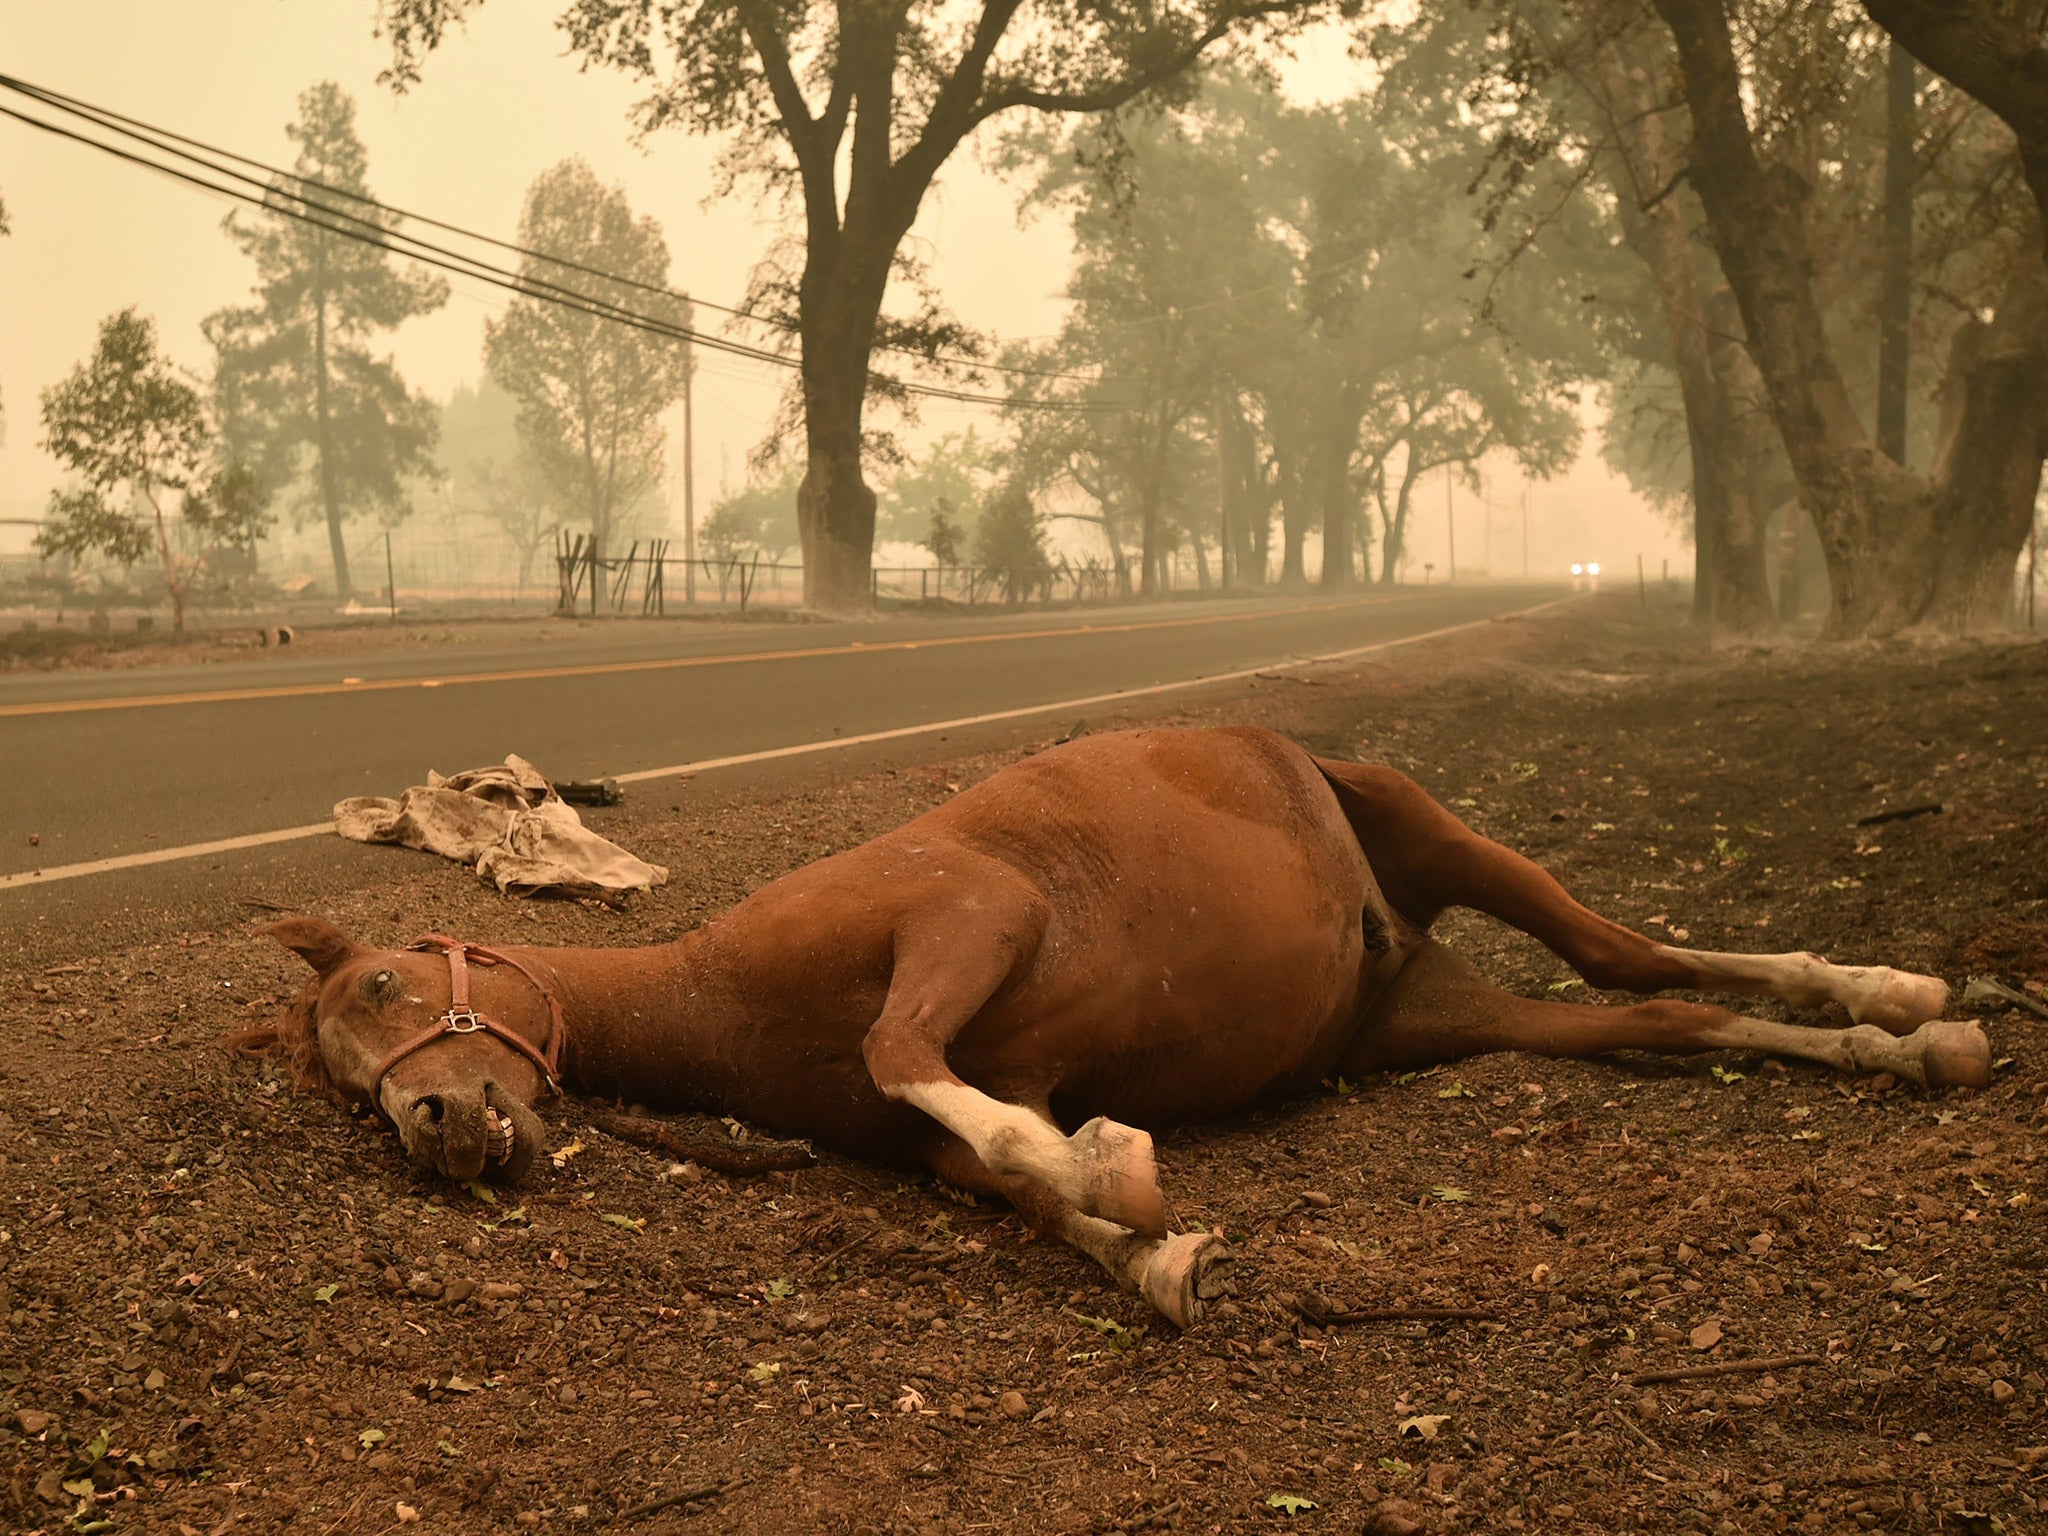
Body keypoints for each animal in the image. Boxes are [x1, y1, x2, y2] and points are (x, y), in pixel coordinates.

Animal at [239, 729, 1982, 1327]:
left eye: (385, 986)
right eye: (341, 1080)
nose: (438, 1128)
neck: (724, 995)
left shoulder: (968, 917)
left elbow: (923, 1066)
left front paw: (1124, 1175)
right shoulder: (945, 1119)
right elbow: (1006, 1182)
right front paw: (1148, 1244)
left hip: (1435, 833)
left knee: (1630, 947)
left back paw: (1896, 999)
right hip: (1428, 1018)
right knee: (1661, 1010)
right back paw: (1898, 1041)